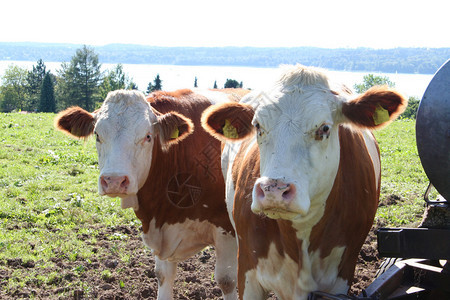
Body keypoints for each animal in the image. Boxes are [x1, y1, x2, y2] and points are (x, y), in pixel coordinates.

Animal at [55, 88, 250, 298]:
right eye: (98, 135)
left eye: (148, 136)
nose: (114, 180)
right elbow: (163, 275)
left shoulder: (225, 228)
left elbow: (226, 280)